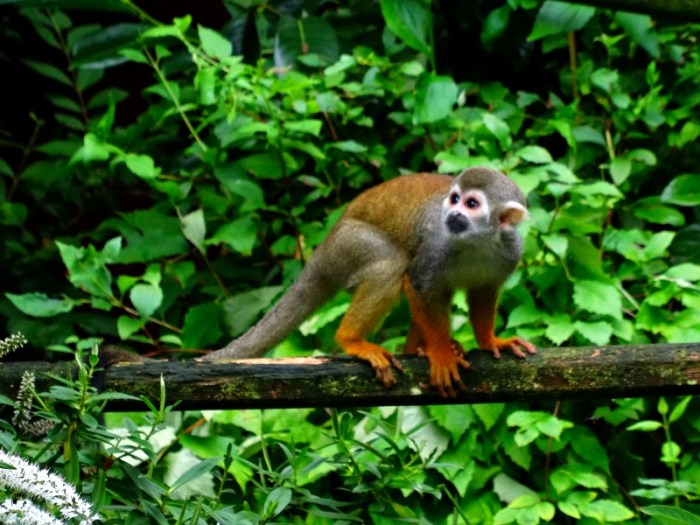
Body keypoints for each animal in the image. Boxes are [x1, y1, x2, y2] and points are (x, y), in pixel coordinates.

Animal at [201, 167, 536, 397]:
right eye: (455, 200)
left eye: (471, 204)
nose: (452, 212)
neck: (476, 241)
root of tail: (326, 244)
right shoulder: (436, 246)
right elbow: (416, 283)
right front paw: (440, 353)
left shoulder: (510, 251)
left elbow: (483, 292)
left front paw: (490, 341)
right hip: (348, 246)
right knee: (390, 266)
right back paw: (354, 340)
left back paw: (416, 348)